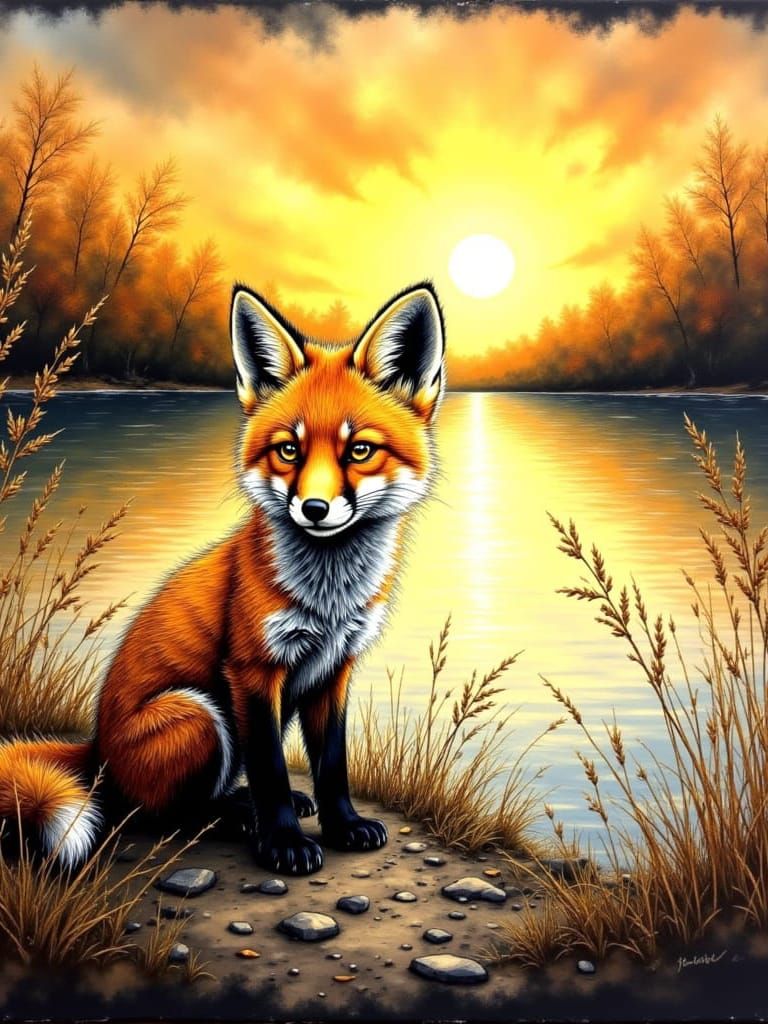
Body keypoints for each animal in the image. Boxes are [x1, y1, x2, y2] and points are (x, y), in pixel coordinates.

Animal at [0, 282, 445, 875]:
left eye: (359, 450)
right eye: (289, 450)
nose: (315, 509)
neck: (328, 600)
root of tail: (96, 751)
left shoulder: (335, 669)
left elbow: (332, 765)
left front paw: (344, 825)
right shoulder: (253, 671)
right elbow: (271, 770)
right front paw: (284, 843)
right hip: (198, 713)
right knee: (155, 811)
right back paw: (236, 816)